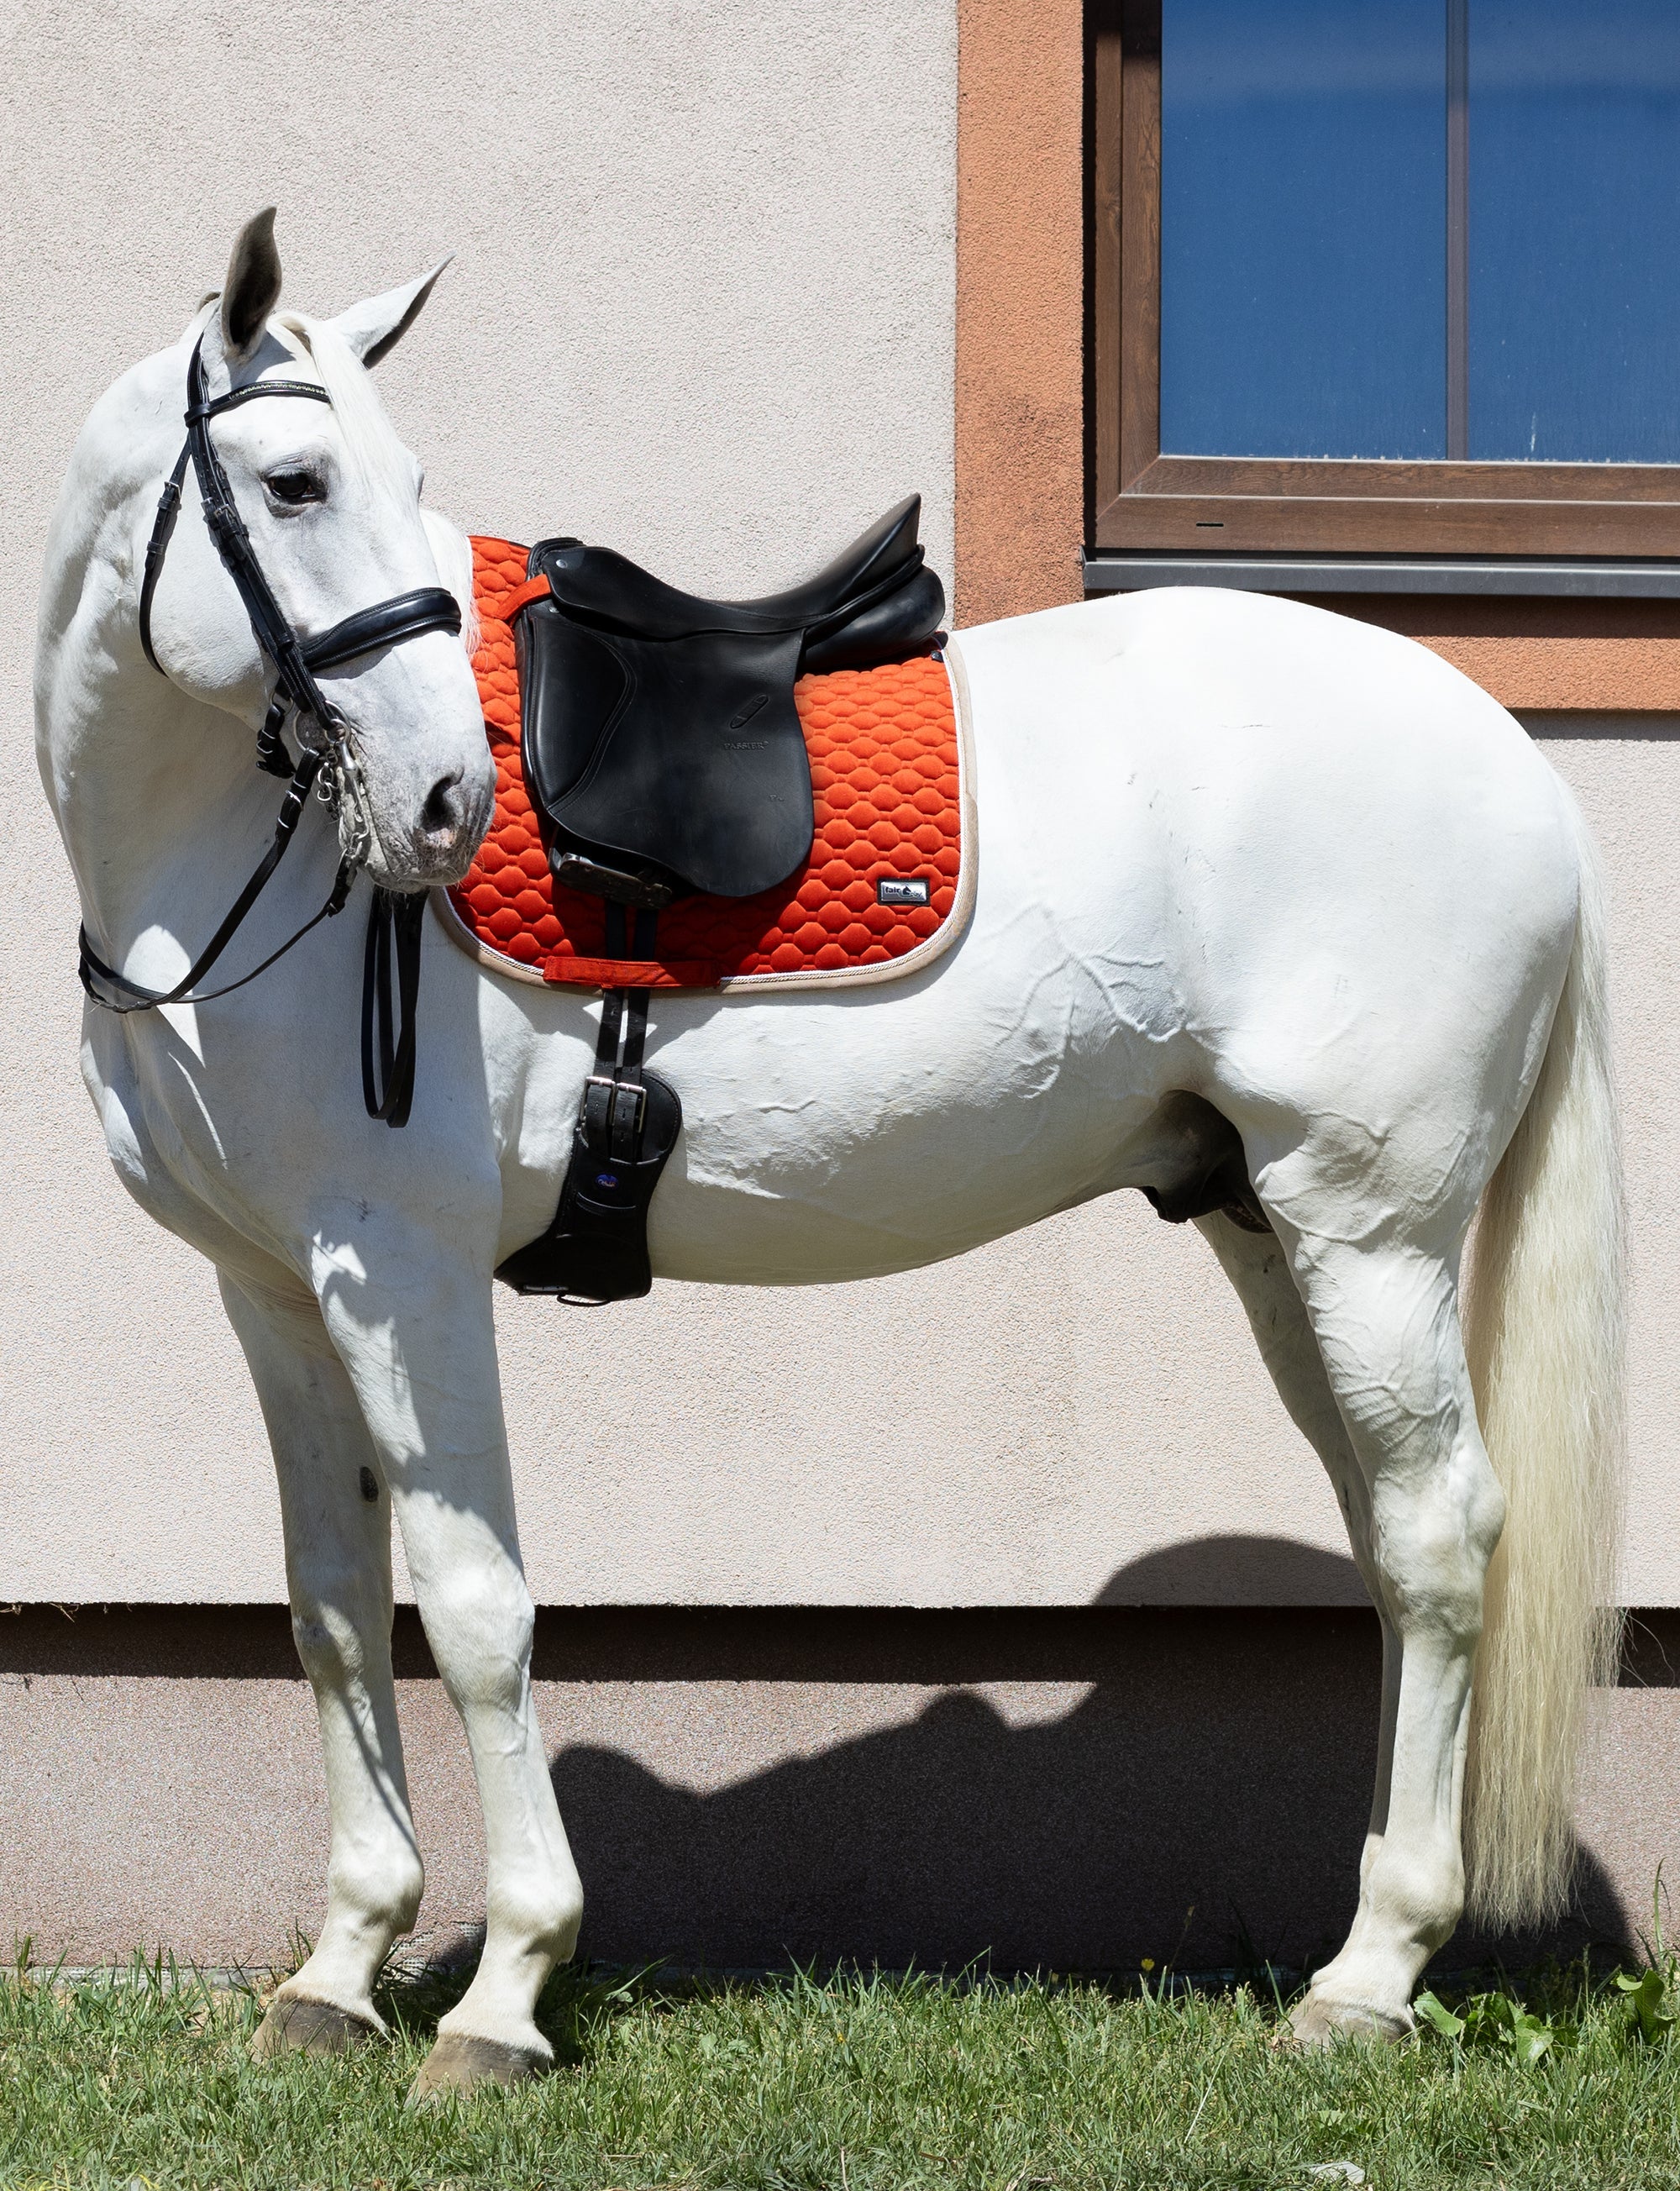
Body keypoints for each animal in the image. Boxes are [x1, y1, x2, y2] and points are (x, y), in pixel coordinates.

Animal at [39, 218, 1620, 2085]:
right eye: (295, 480)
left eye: (396, 478)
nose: (443, 803)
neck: (231, 854)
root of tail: (1511, 756)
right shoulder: (276, 1287)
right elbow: (334, 1600)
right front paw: (340, 1970)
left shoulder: (402, 1269)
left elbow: (479, 1606)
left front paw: (504, 1992)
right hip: (1267, 1223)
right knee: (1390, 1535)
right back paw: (1363, 1934)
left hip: (1368, 1225)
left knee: (1441, 1532)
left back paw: (1372, 1975)